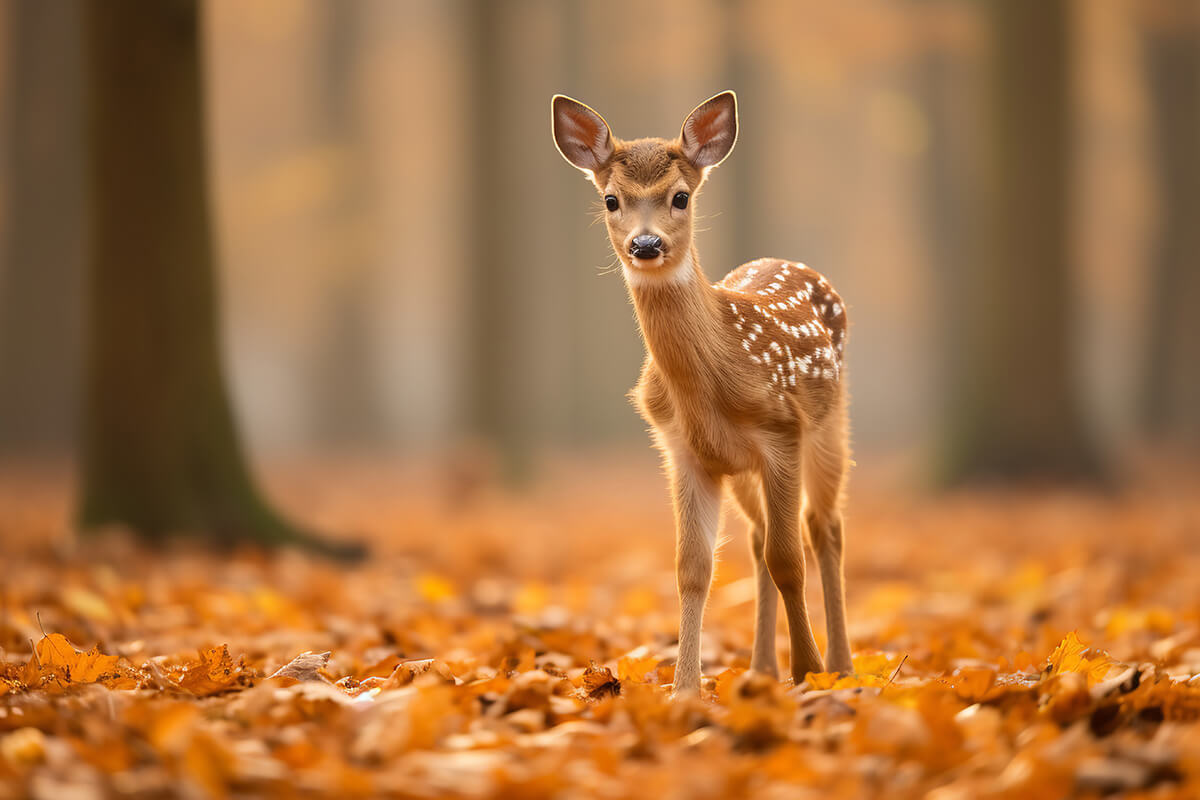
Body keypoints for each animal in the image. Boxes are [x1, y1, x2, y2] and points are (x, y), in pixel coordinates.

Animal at [552, 91, 853, 695]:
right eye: (612, 199)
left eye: (681, 197)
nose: (646, 244)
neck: (713, 379)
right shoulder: (684, 451)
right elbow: (693, 568)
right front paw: (685, 690)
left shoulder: (782, 432)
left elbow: (789, 559)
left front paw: (808, 670)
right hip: (740, 470)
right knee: (759, 539)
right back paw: (762, 669)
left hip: (830, 423)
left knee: (822, 528)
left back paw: (841, 666)